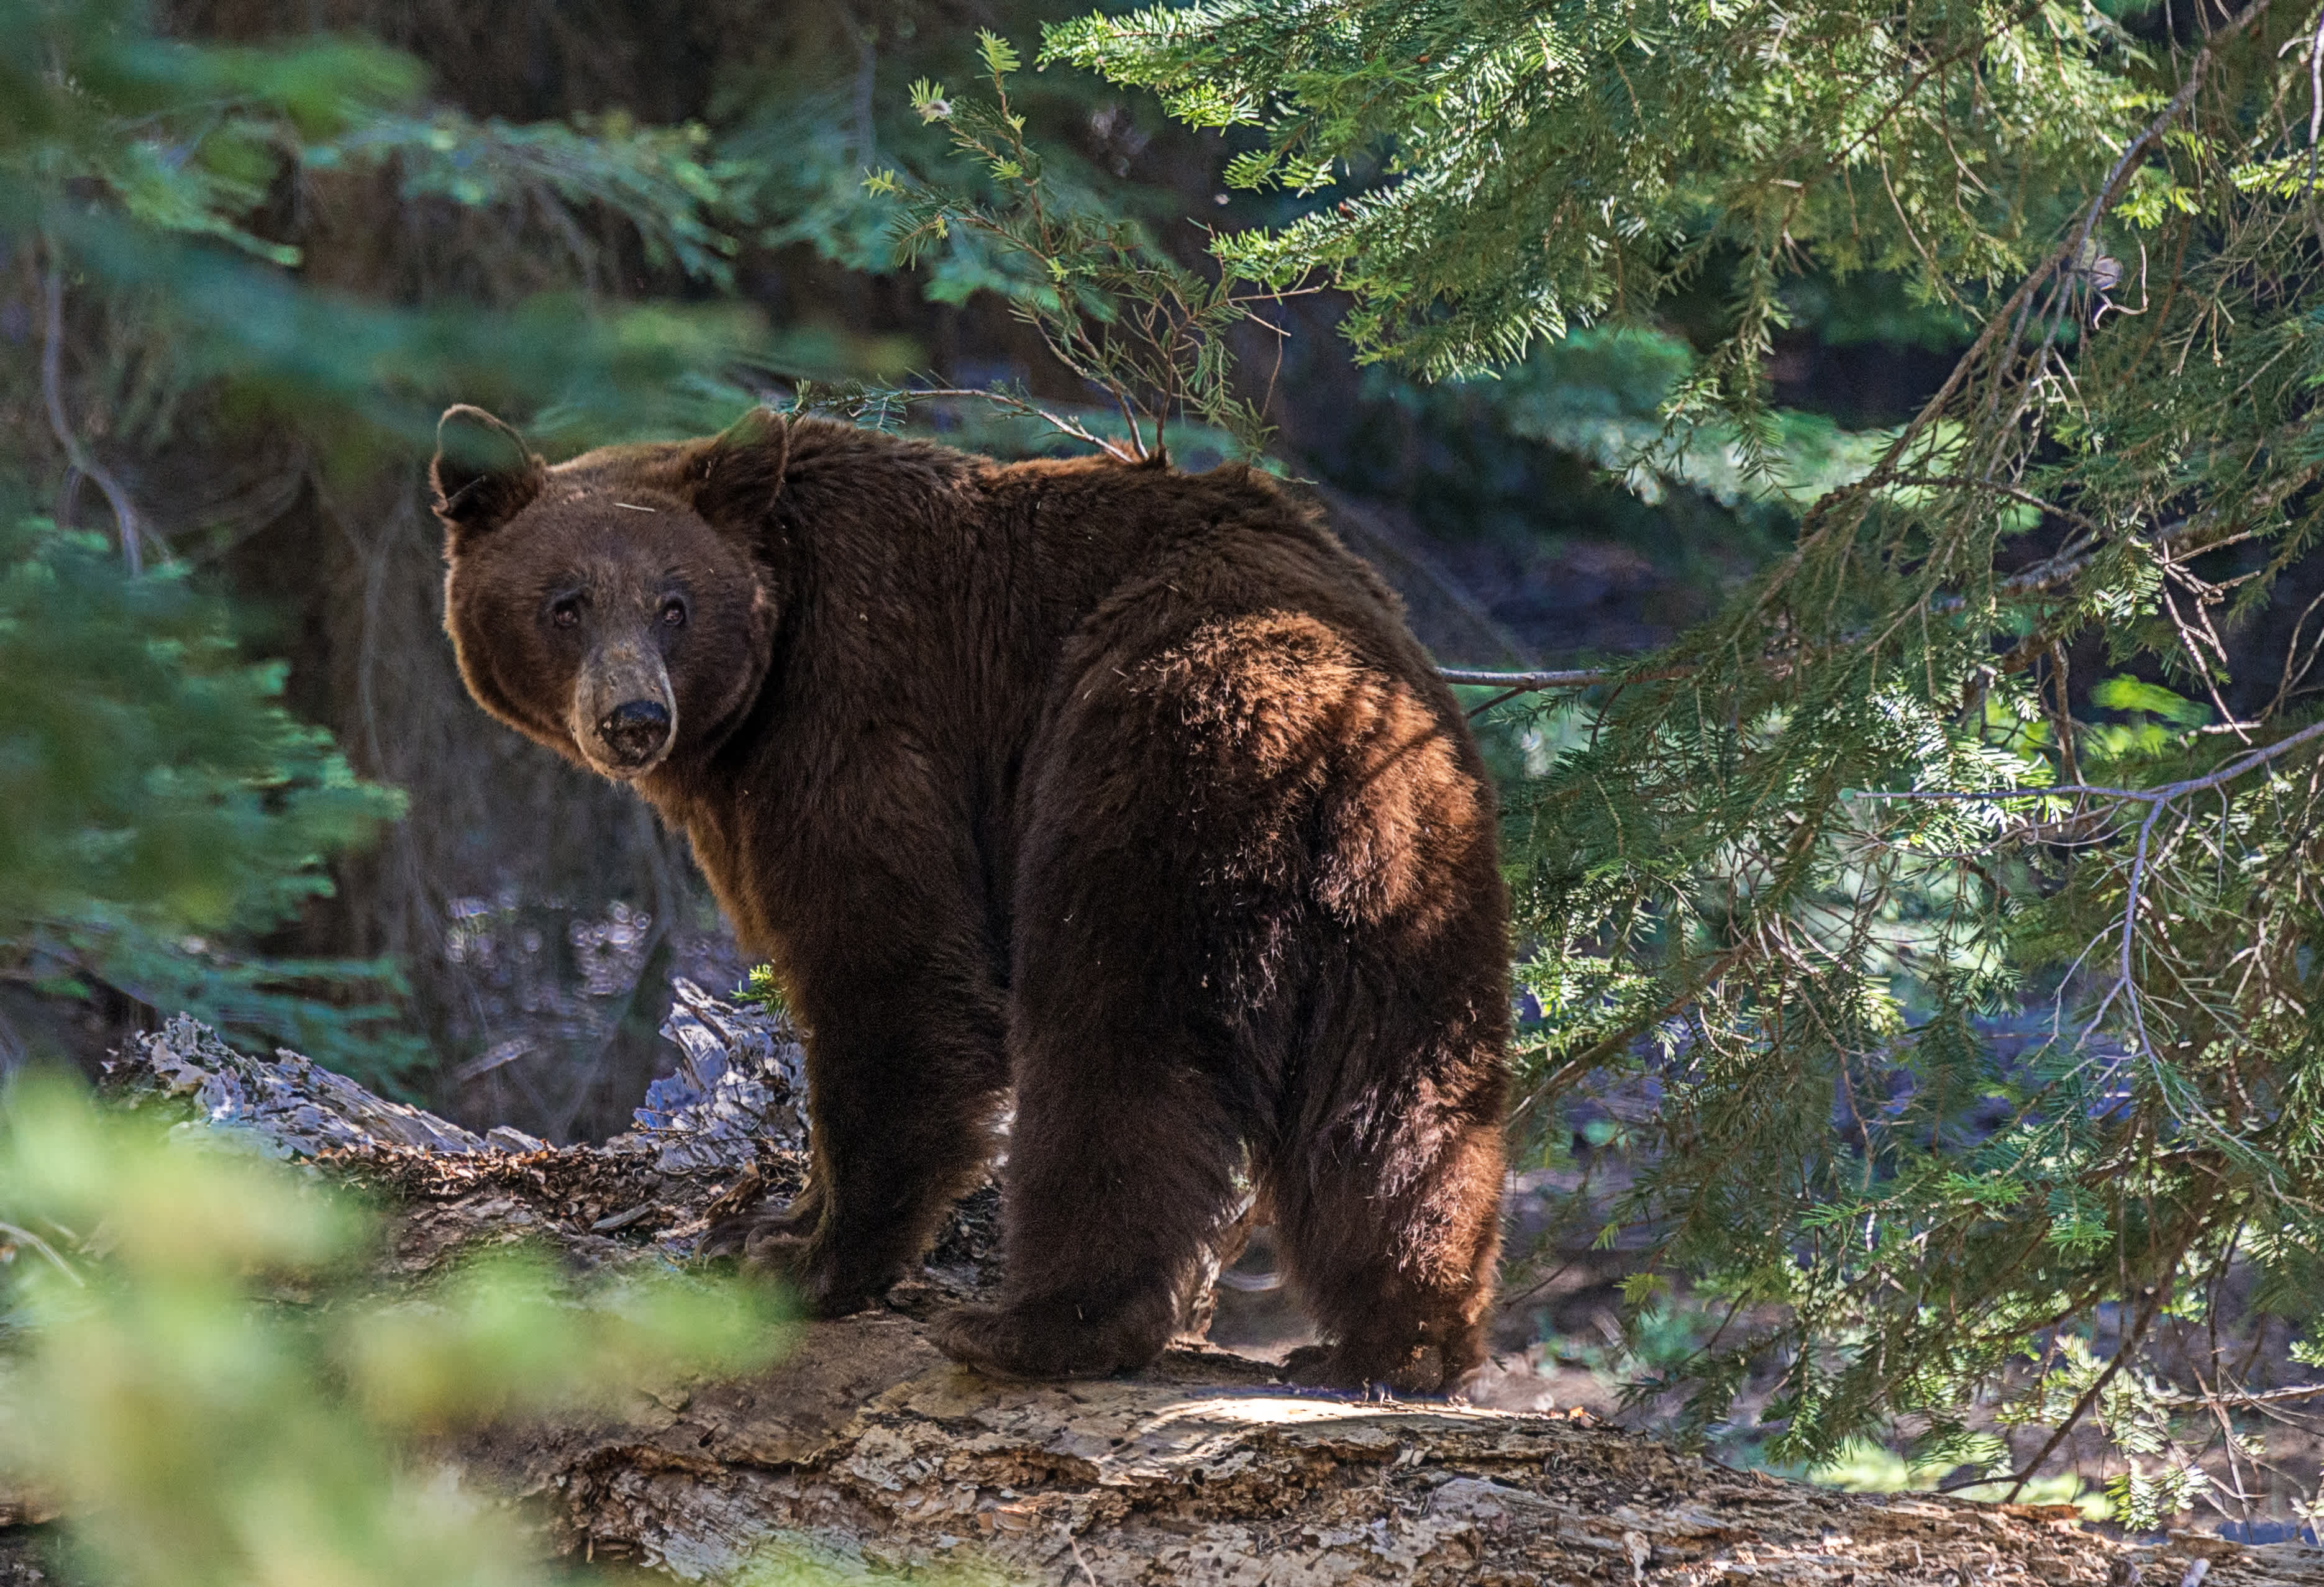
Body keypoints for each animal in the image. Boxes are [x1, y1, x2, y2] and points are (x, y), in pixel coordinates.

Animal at [437, 406, 1515, 1394]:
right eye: (566, 603)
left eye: (673, 604)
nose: (633, 718)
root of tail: (1329, 717)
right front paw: (765, 1221)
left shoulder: (860, 708)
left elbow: (890, 970)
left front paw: (813, 1261)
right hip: (1417, 876)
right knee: (1401, 1099)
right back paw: (1395, 1343)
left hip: (1148, 778)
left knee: (1118, 1049)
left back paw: (1040, 1325)